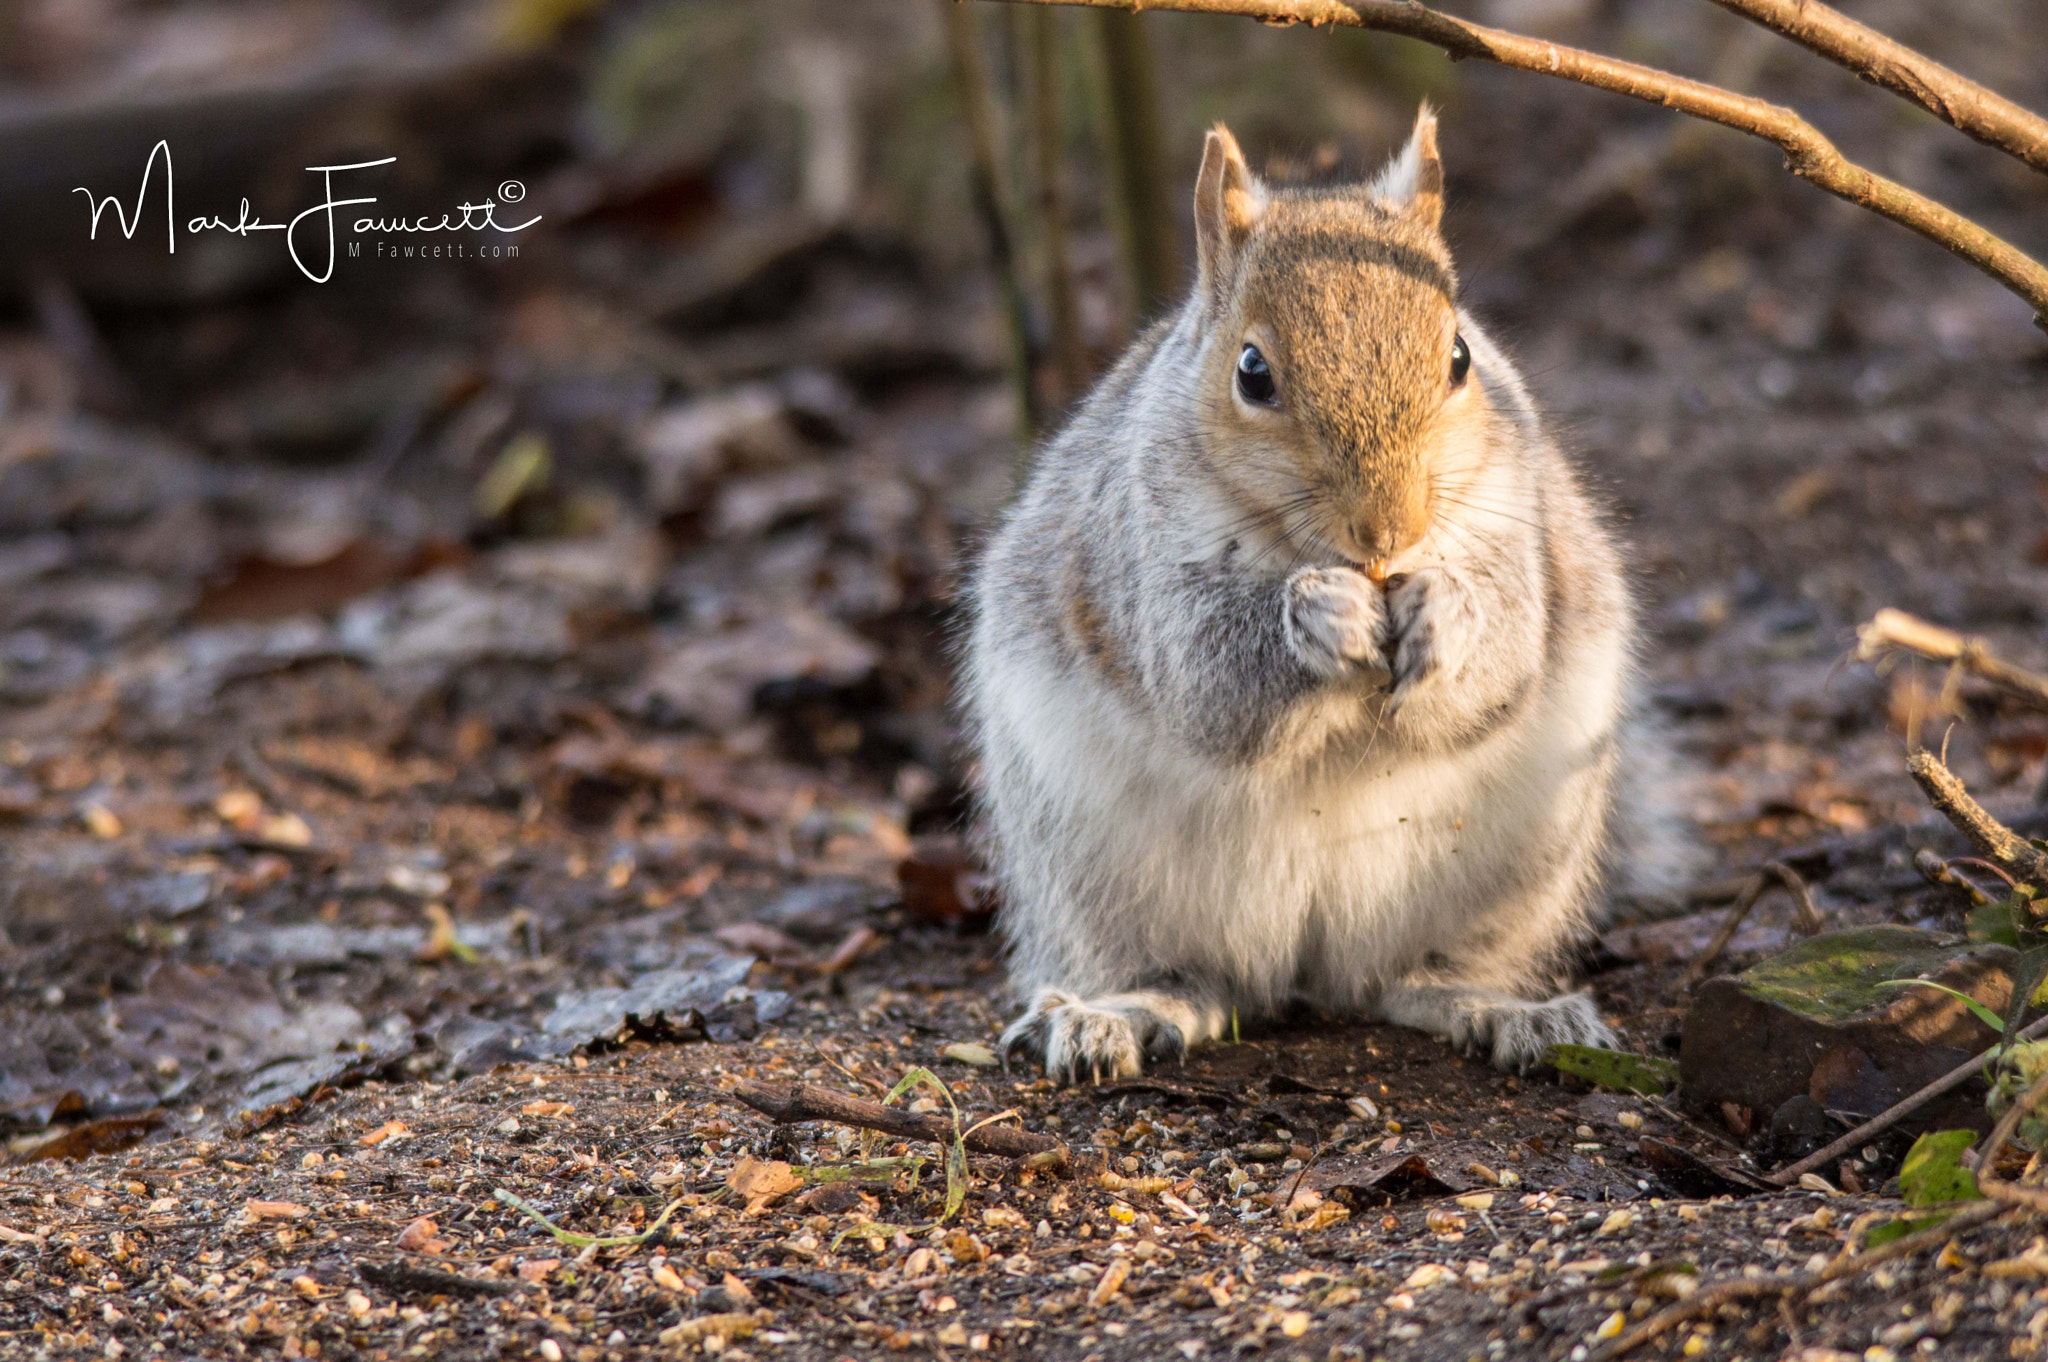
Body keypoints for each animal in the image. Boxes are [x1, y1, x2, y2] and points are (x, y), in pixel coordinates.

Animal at [964, 108, 1698, 1082]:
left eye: (1460, 355)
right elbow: (1208, 681)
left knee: (1410, 981)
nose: (1389, 531)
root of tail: (1309, 969)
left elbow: (1503, 660)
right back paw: (1119, 1012)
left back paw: (1502, 1008)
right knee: (1194, 980)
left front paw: (1447, 615)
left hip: (1522, 862)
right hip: (1089, 864)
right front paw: (1319, 618)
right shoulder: (1142, 553)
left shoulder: (1517, 528)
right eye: (1252, 372)